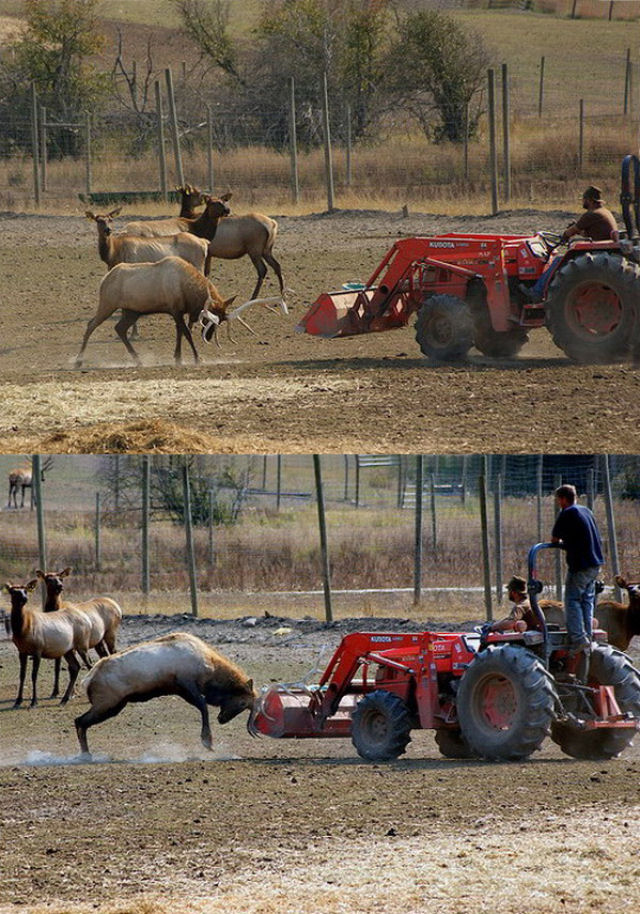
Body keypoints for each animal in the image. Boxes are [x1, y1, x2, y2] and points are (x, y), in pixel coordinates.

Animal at [5, 576, 93, 704]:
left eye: (25, 590)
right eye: (13, 591)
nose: (24, 598)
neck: (22, 630)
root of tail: (88, 620)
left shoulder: (38, 650)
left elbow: (34, 675)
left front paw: (34, 701)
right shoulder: (21, 651)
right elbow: (22, 675)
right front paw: (18, 701)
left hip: (82, 645)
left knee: (90, 664)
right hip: (68, 650)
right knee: (75, 667)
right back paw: (64, 699)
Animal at [37, 568, 122, 700]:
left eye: (61, 578)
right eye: (48, 579)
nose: (60, 586)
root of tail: (118, 607)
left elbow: (70, 667)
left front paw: (72, 693)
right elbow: (57, 667)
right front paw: (55, 692)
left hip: (110, 633)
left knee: (113, 652)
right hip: (98, 640)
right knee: (104, 655)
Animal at [73, 255, 245, 366]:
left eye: (220, 320)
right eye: (209, 319)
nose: (208, 337)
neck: (188, 290)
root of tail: (104, 280)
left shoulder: (178, 312)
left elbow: (179, 333)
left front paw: (178, 357)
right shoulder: (175, 310)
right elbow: (186, 333)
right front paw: (197, 358)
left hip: (131, 312)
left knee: (119, 328)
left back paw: (138, 360)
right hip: (108, 304)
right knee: (91, 325)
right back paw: (78, 360)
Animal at [74, 632, 255, 752]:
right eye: (242, 702)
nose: (222, 719)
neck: (211, 669)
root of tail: (88, 680)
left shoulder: (181, 690)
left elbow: (202, 707)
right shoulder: (187, 683)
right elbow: (203, 707)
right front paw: (207, 740)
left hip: (114, 705)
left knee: (81, 722)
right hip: (107, 704)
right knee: (79, 721)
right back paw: (85, 754)